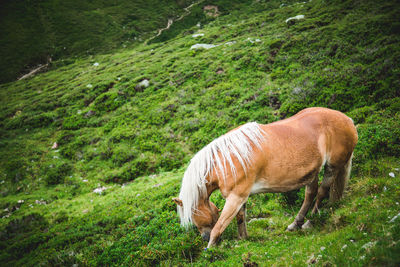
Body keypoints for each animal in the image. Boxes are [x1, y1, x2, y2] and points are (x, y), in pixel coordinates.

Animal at [171, 107, 356, 249]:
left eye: (192, 214)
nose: (203, 238)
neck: (226, 161)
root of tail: (347, 120)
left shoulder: (235, 198)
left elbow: (220, 225)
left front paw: (210, 249)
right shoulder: (240, 198)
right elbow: (240, 218)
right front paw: (243, 239)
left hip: (332, 167)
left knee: (322, 192)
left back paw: (310, 221)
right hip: (312, 173)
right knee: (310, 195)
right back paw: (295, 224)